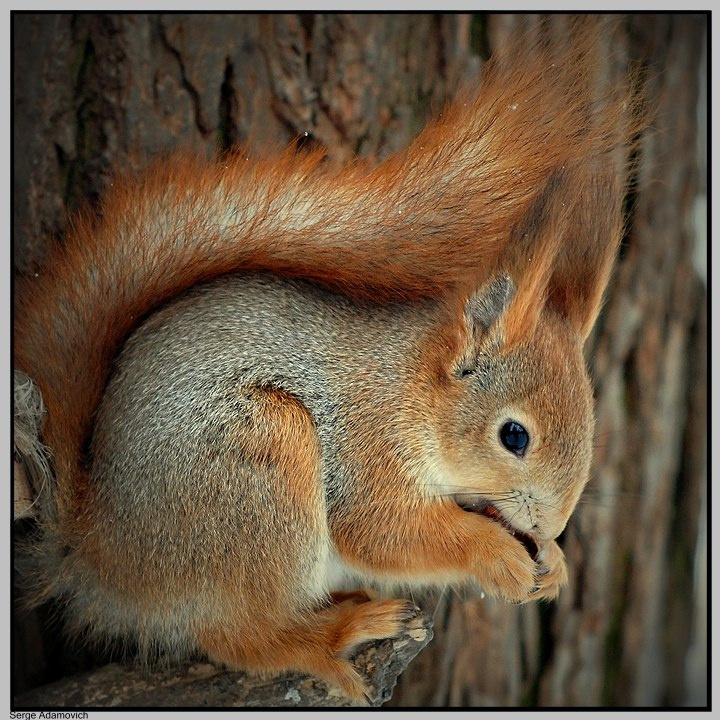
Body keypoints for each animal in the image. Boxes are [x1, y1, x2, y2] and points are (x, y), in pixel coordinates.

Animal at [14, 18, 639, 701]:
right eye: (514, 436)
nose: (550, 527)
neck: (412, 391)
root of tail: (100, 551)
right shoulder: (367, 446)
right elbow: (383, 531)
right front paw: (495, 556)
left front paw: (553, 565)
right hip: (256, 469)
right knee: (242, 638)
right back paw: (330, 637)